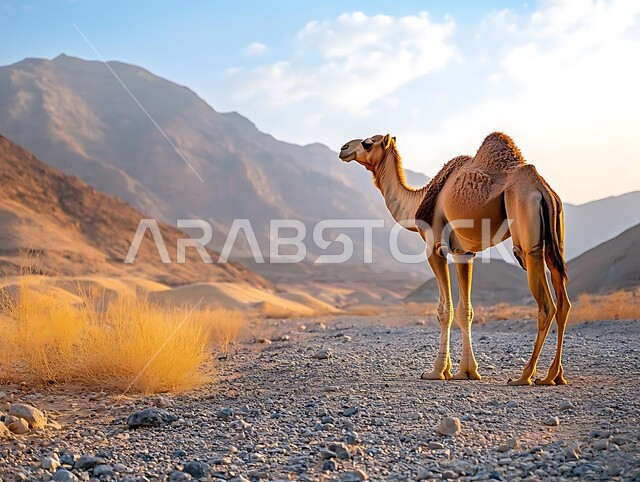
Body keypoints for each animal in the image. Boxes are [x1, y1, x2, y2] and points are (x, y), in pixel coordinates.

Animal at [339, 132, 571, 386]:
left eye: (367, 143)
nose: (343, 148)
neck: (418, 201)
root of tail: (543, 188)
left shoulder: (434, 247)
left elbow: (445, 310)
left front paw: (437, 371)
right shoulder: (463, 253)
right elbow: (465, 311)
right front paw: (465, 371)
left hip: (527, 239)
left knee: (546, 305)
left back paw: (525, 376)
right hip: (555, 239)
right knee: (564, 303)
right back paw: (553, 376)